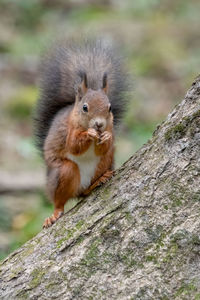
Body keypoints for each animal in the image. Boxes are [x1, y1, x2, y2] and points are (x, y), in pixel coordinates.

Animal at [34, 39, 129, 227]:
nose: (99, 124)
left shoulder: (110, 129)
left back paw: (98, 181)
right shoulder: (69, 131)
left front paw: (106, 137)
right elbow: (73, 146)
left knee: (85, 191)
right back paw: (54, 214)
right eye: (85, 107)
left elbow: (104, 146)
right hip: (63, 173)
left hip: (105, 162)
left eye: (110, 107)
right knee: (60, 201)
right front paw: (89, 134)